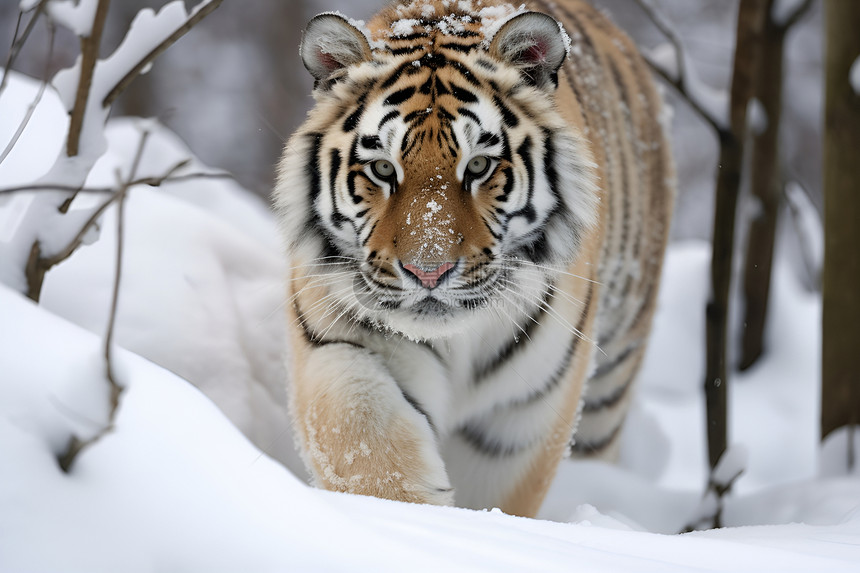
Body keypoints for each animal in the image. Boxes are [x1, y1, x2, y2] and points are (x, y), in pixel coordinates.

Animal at [274, 0, 672, 520]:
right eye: (382, 168)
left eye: (479, 166)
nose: (428, 273)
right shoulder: (335, 341)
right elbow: (365, 444)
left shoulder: (520, 414)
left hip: (614, 377)